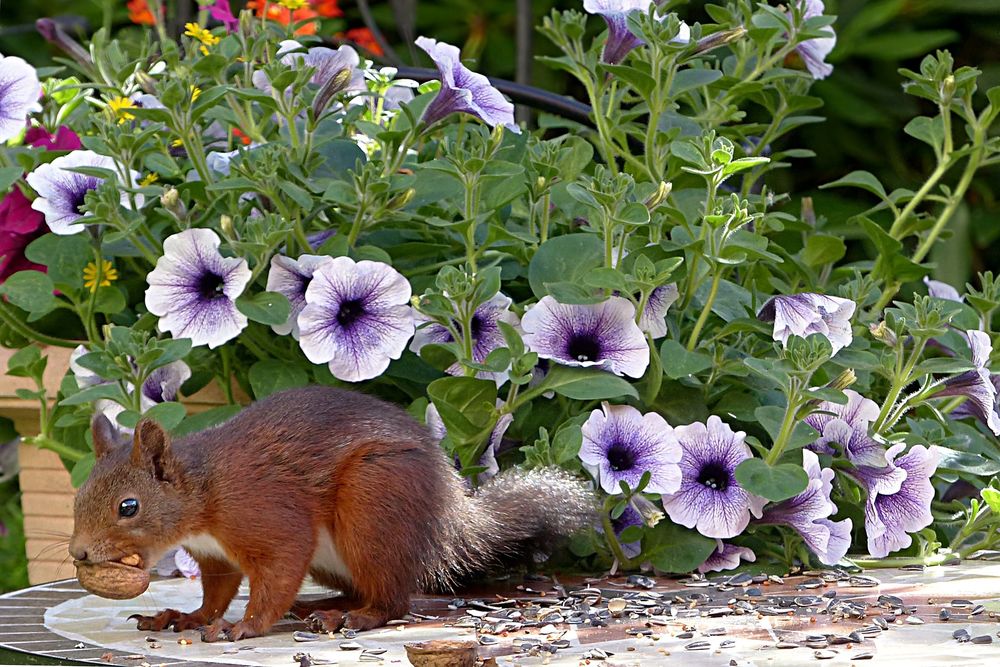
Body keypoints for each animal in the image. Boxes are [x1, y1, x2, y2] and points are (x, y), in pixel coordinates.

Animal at [68, 385, 595, 642]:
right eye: (77, 498)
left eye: (128, 507)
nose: (79, 554)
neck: (204, 493)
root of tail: (448, 515)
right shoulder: (214, 555)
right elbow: (216, 593)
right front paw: (184, 617)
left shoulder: (265, 516)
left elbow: (278, 569)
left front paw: (245, 626)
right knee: (368, 589)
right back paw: (323, 606)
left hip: (372, 509)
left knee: (393, 601)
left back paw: (351, 618)